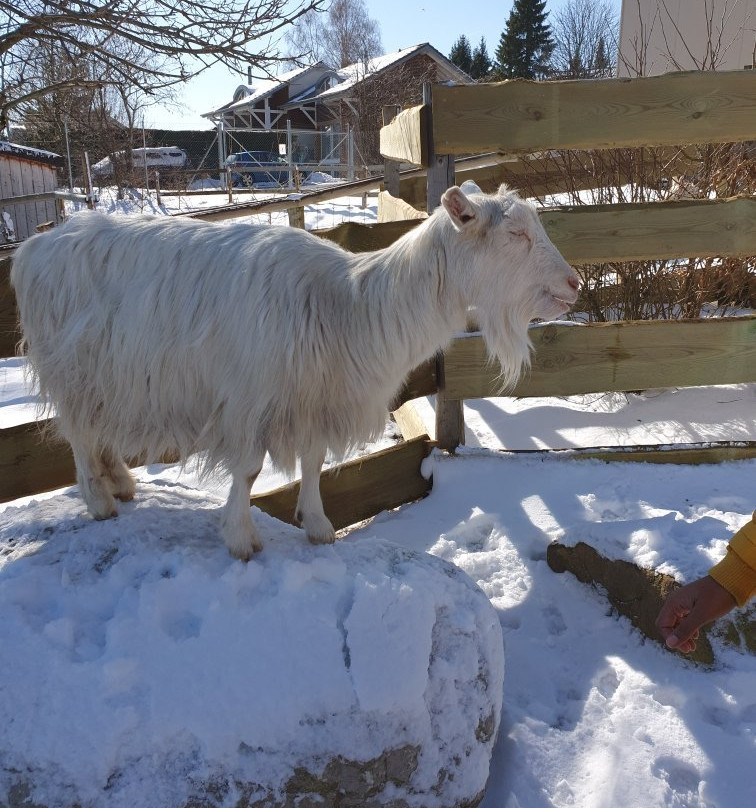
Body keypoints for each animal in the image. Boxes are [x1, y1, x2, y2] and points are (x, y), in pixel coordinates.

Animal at [11, 185, 580, 560]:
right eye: (515, 233)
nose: (574, 283)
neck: (346, 305)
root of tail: (33, 249)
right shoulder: (249, 397)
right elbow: (248, 470)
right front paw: (241, 539)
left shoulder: (314, 399)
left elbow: (313, 461)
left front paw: (319, 526)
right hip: (70, 369)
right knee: (78, 433)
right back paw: (100, 499)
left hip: (108, 375)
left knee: (97, 429)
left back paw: (123, 484)